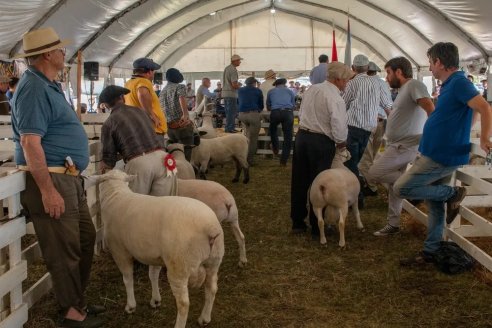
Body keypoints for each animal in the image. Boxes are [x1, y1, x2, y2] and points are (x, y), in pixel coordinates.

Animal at [97, 169, 223, 328]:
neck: (116, 194)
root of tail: (210, 227)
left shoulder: (119, 250)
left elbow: (128, 278)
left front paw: (131, 306)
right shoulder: (154, 255)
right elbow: (153, 275)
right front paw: (155, 300)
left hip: (179, 266)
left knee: (183, 303)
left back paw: (180, 324)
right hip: (214, 260)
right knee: (211, 288)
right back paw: (204, 318)